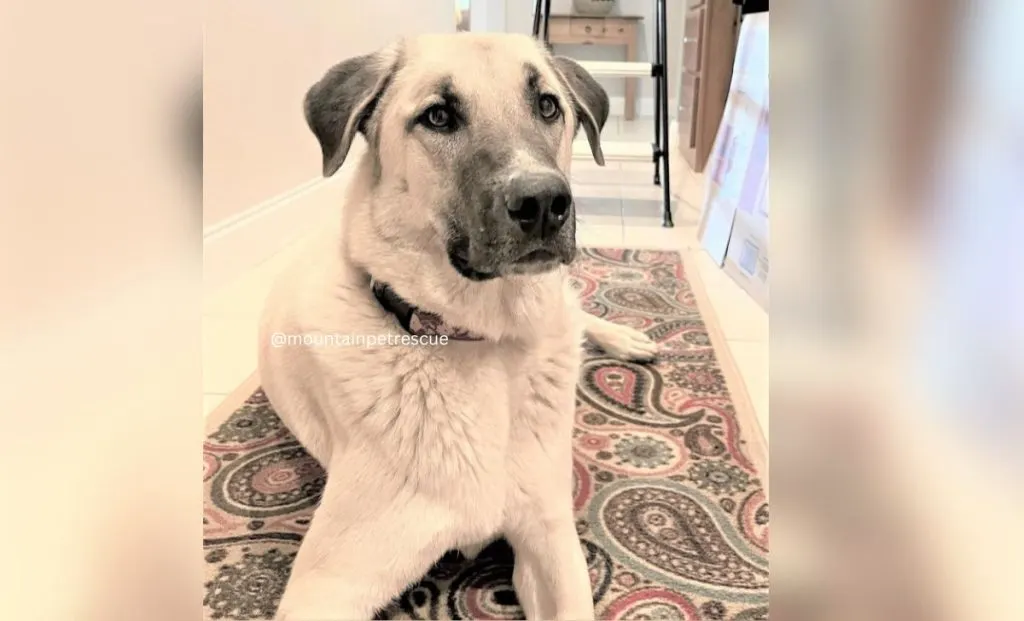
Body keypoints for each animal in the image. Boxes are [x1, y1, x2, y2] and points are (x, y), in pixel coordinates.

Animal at [260, 34, 659, 621]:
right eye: (438, 116)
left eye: (547, 106)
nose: (545, 202)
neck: (480, 340)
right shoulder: (326, 585)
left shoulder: (551, 539)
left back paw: (626, 338)